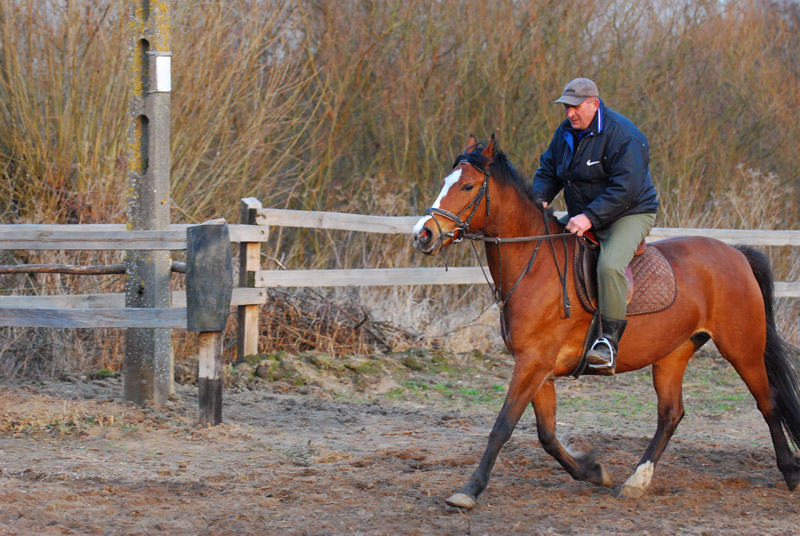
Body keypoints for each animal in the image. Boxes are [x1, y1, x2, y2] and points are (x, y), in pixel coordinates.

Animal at [412, 136, 800, 508]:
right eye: (445, 182)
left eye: (467, 186)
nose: (423, 234)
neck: (534, 264)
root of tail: (736, 252)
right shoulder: (539, 369)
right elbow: (547, 435)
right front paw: (594, 472)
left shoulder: (532, 363)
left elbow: (502, 426)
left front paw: (469, 490)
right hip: (672, 354)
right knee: (670, 414)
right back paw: (636, 481)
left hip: (742, 349)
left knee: (768, 403)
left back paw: (790, 472)